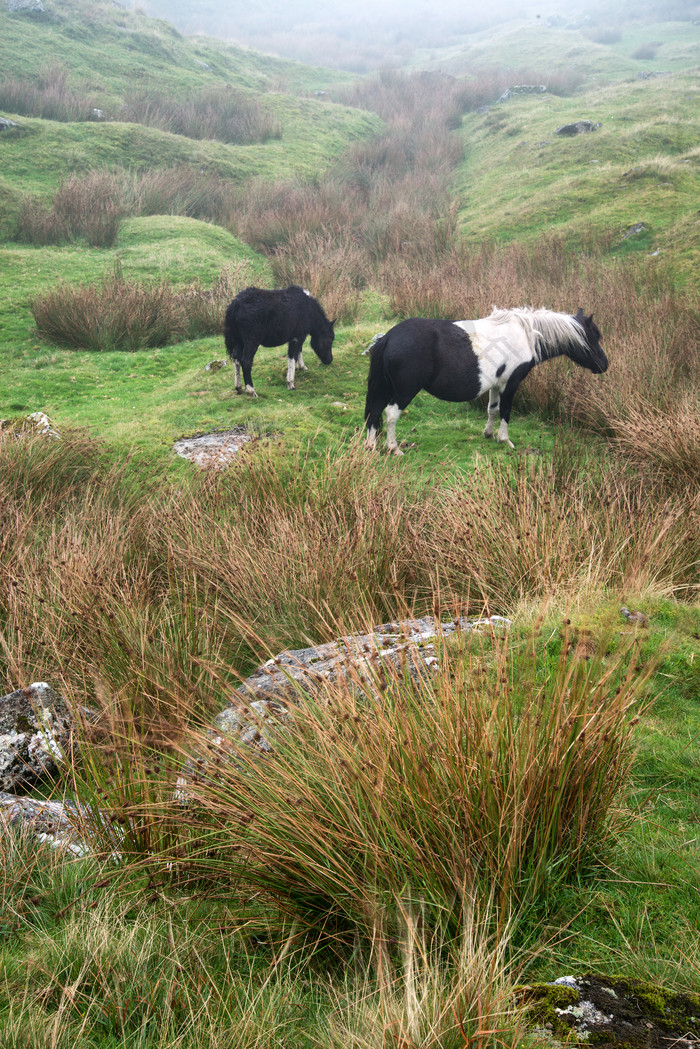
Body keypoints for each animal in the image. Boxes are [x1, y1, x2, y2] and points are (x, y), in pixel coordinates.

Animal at [367, 304, 608, 451]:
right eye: (592, 337)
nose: (604, 365)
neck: (525, 335)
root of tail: (388, 337)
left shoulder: (495, 384)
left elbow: (492, 409)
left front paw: (489, 434)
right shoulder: (511, 383)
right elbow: (506, 411)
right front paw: (505, 440)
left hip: (385, 388)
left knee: (374, 412)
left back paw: (371, 446)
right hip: (404, 391)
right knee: (390, 413)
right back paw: (393, 448)